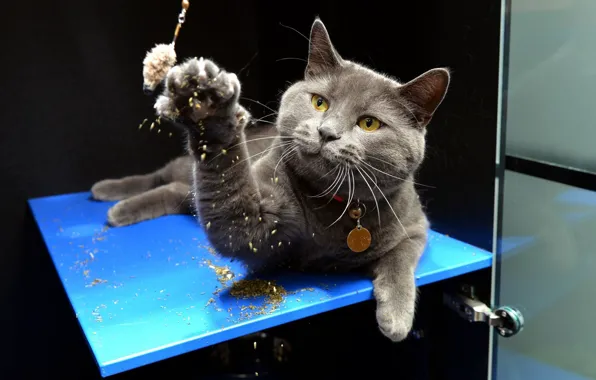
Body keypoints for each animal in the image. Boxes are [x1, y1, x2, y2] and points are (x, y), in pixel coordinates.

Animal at [94, 17, 448, 342]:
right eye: (320, 102)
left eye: (369, 123)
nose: (326, 132)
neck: (339, 208)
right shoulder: (257, 218)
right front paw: (210, 109)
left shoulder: (415, 224)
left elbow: (401, 259)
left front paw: (397, 318)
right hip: (181, 168)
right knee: (163, 177)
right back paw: (109, 196)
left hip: (185, 192)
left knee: (180, 191)